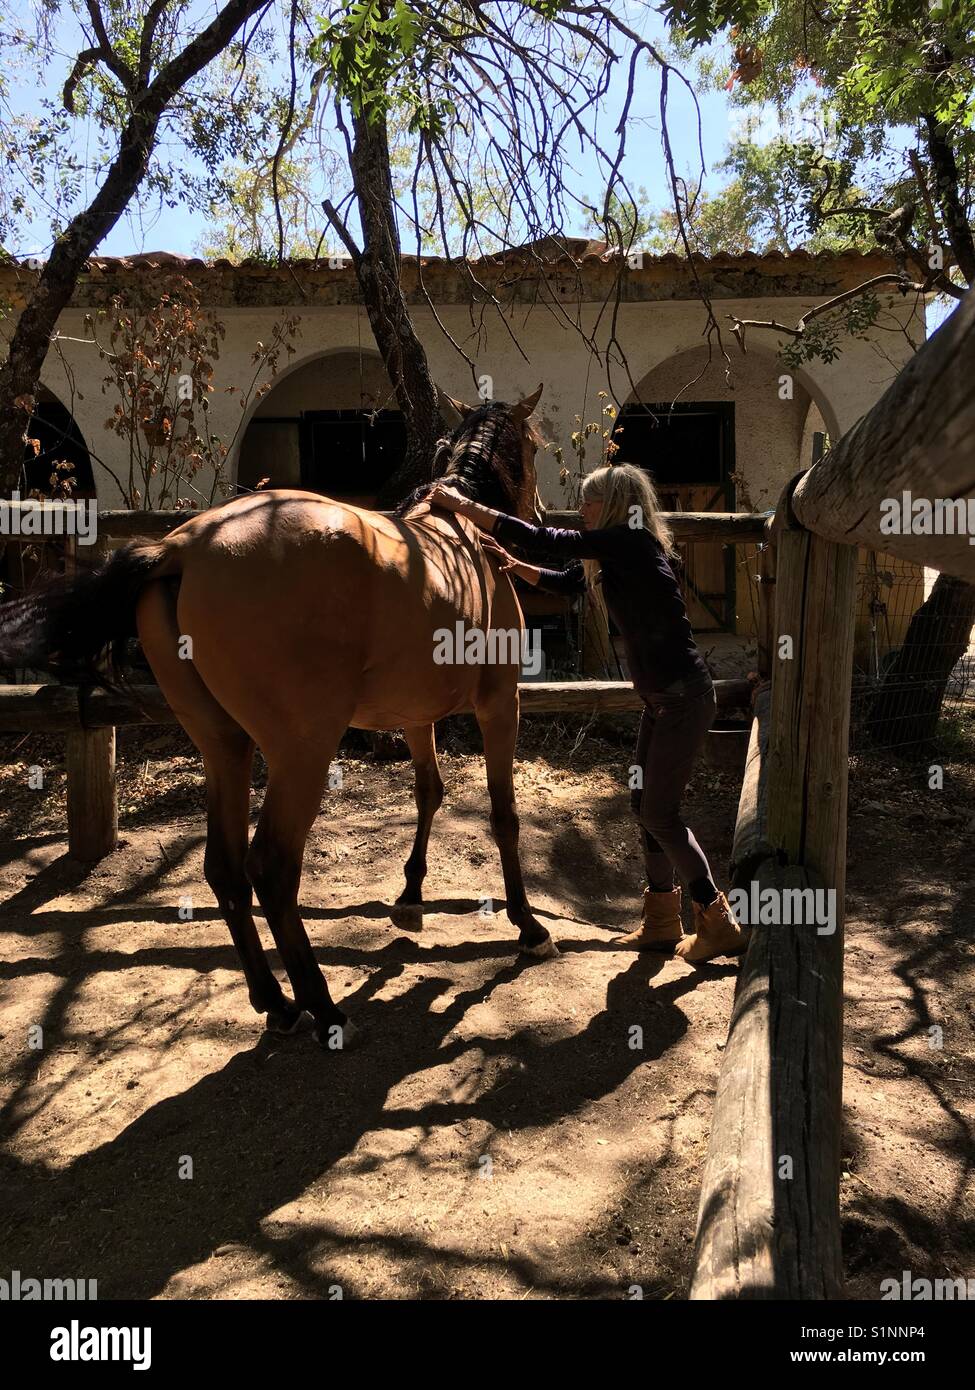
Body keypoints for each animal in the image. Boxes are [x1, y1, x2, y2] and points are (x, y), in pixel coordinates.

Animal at [0, 386, 559, 1045]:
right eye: (534, 445)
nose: (541, 513)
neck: (464, 536)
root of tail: (180, 550)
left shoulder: (415, 716)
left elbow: (428, 792)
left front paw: (411, 895)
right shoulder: (500, 705)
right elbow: (503, 816)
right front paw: (528, 926)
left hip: (225, 746)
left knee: (225, 868)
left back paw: (275, 1000)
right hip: (303, 751)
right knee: (270, 866)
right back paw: (322, 1007)